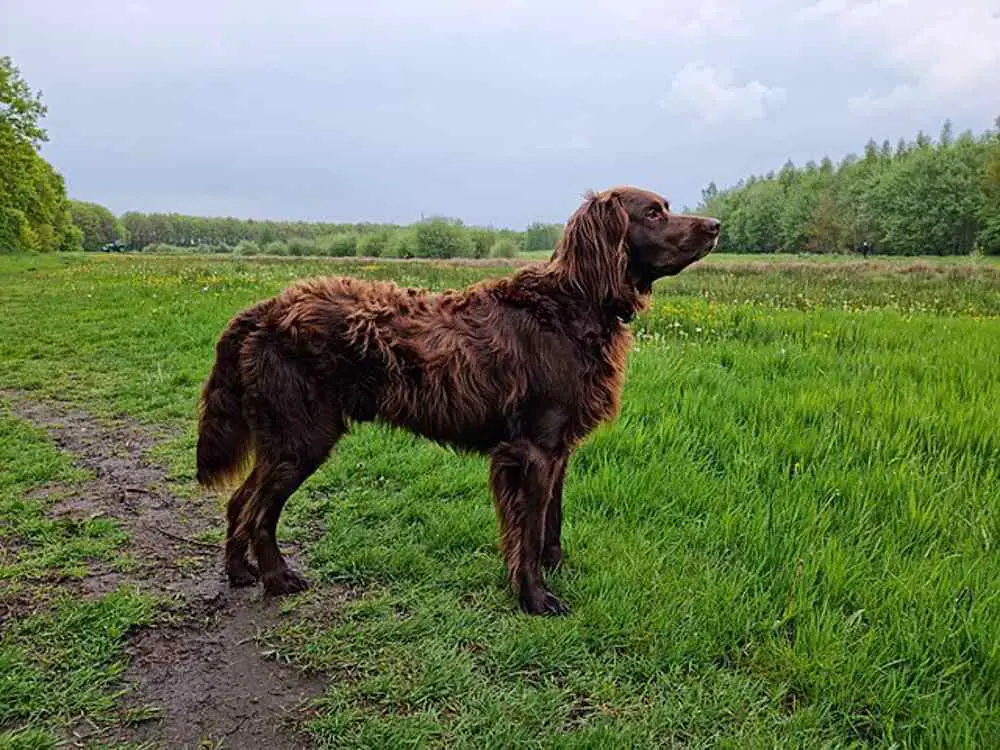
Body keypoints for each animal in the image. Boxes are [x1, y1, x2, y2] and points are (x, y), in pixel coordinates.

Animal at [195, 188, 720, 616]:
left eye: (667, 206)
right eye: (653, 212)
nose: (715, 225)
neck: (572, 306)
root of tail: (267, 309)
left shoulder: (558, 450)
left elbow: (552, 521)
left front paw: (556, 567)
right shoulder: (532, 450)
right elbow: (529, 532)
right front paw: (535, 598)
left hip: (283, 439)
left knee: (240, 500)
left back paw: (240, 572)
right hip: (301, 436)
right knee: (259, 510)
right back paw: (276, 578)